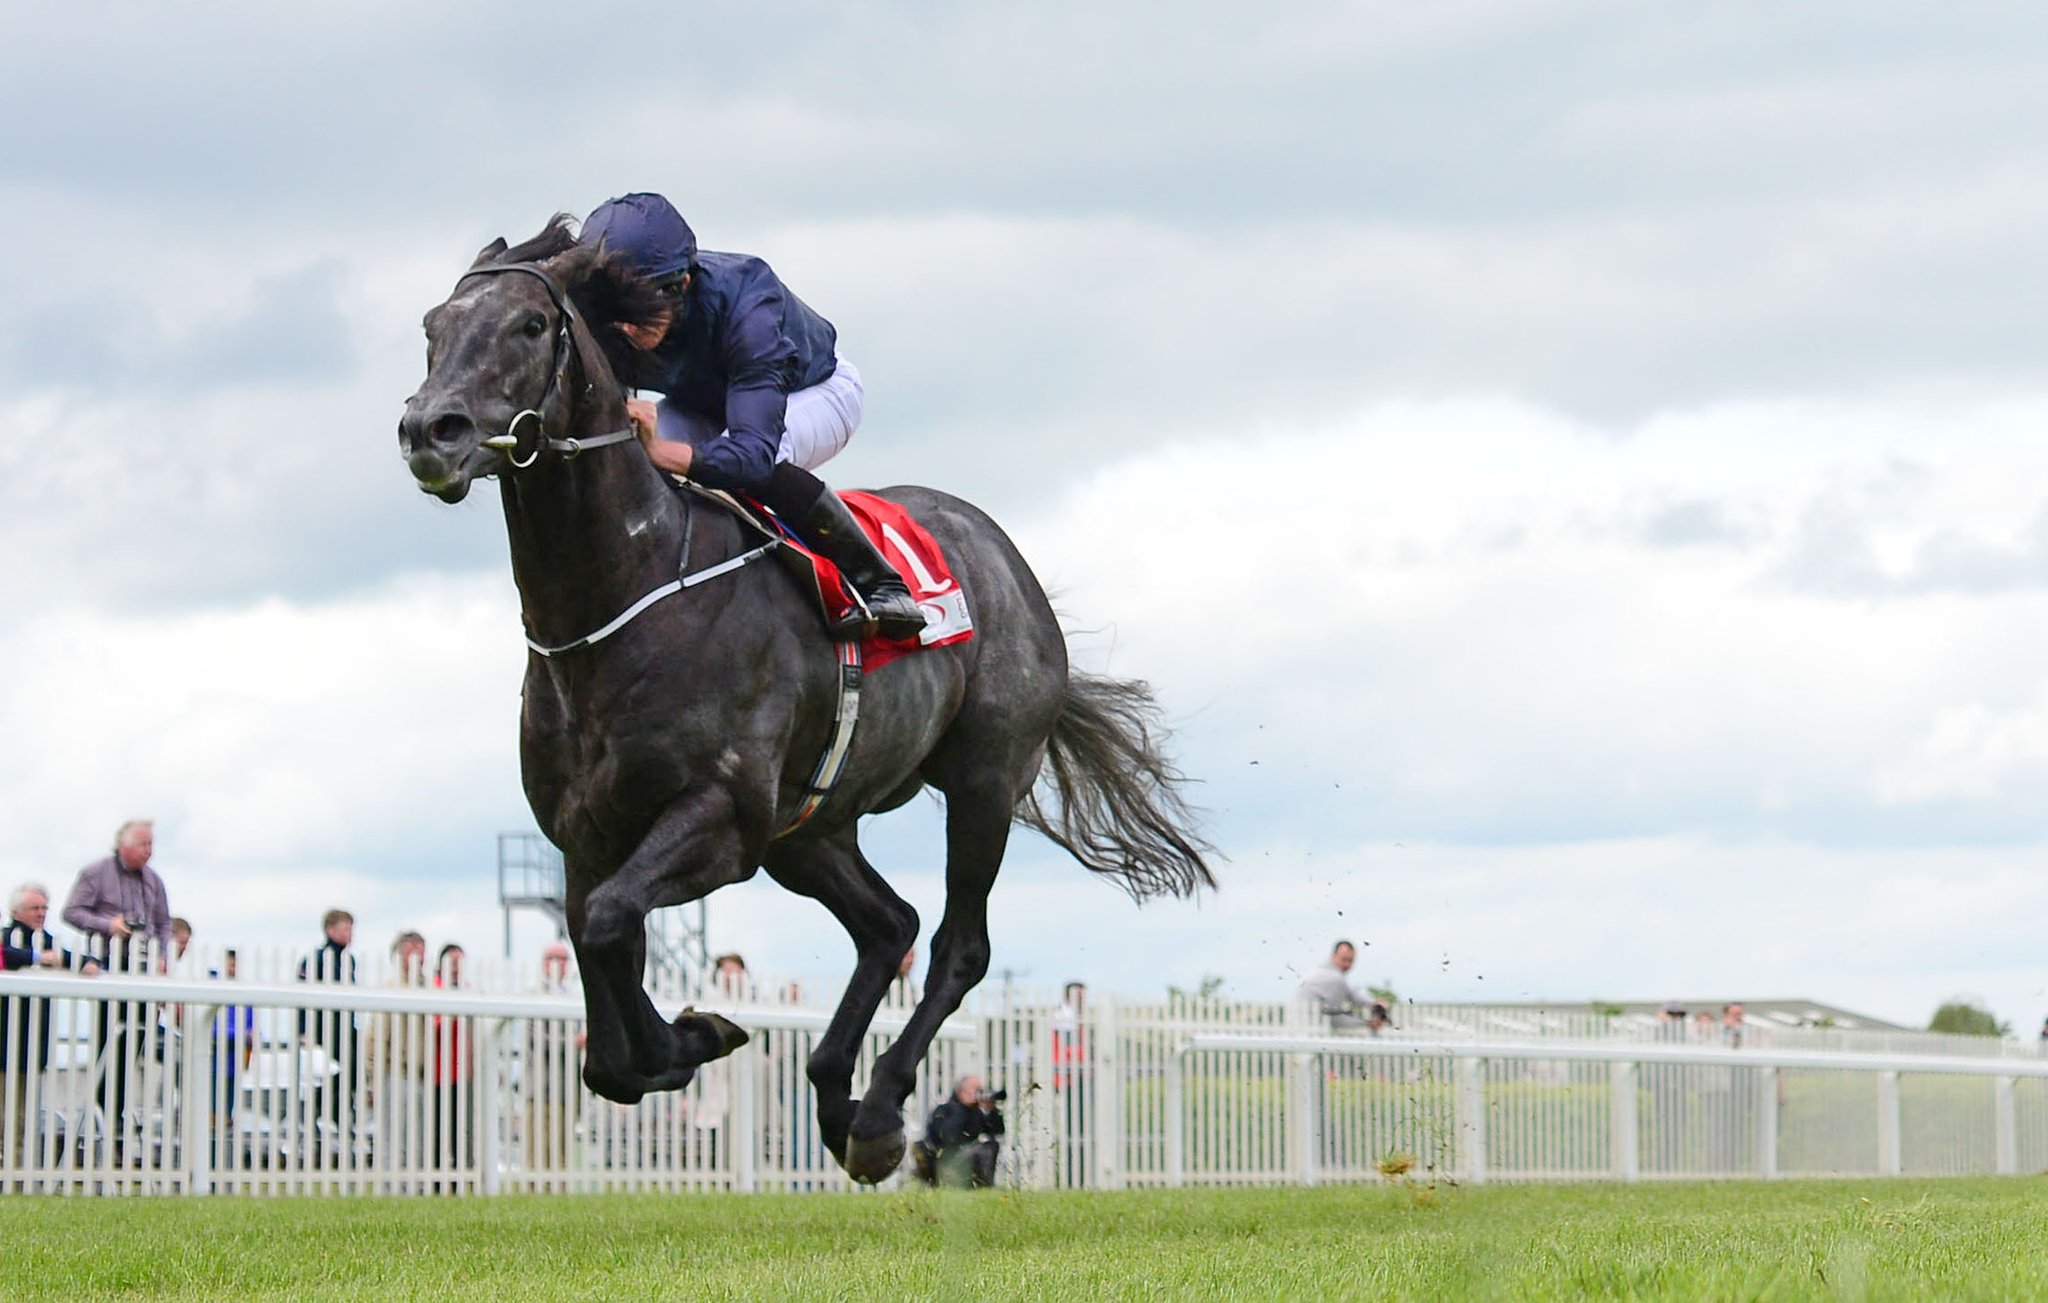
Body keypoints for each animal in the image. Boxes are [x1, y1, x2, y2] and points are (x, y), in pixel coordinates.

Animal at [395, 219, 1212, 1188]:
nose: (429, 431)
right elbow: (602, 984)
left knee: (956, 945)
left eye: (528, 324)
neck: (621, 597)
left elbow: (610, 929)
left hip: (981, 781)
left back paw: (882, 1109)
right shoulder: (585, 837)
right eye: (433, 326)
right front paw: (685, 1038)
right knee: (888, 924)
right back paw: (833, 1094)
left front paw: (694, 1034)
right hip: (812, 827)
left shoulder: (724, 818)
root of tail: (1007, 558)